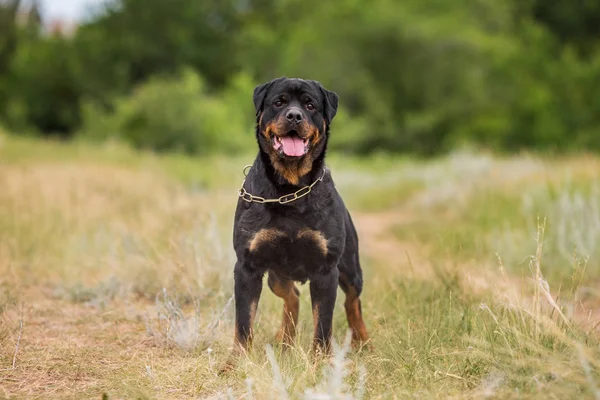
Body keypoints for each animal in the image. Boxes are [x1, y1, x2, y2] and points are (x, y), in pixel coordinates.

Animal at [231, 77, 368, 356]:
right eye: (279, 102)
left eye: (310, 105)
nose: (294, 115)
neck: (289, 189)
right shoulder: (247, 265)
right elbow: (243, 323)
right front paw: (236, 362)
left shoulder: (326, 269)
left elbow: (323, 325)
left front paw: (321, 361)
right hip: (276, 275)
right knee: (292, 295)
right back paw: (284, 339)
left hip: (350, 268)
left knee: (353, 302)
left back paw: (362, 340)